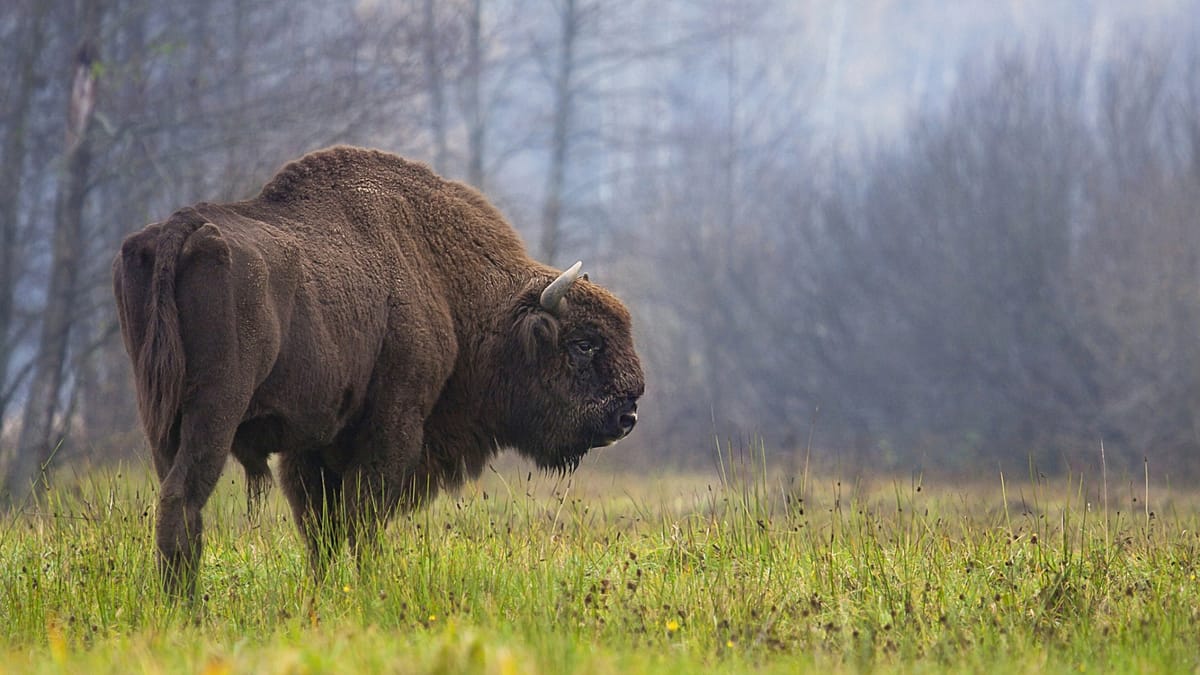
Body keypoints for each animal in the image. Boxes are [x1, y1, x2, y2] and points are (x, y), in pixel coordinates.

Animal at [112, 146, 644, 596]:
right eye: (583, 343)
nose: (628, 414)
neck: (448, 285)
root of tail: (180, 227)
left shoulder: (311, 447)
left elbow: (322, 529)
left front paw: (325, 593)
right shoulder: (392, 427)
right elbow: (361, 521)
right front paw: (369, 589)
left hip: (159, 418)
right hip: (215, 412)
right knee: (183, 498)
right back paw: (187, 606)